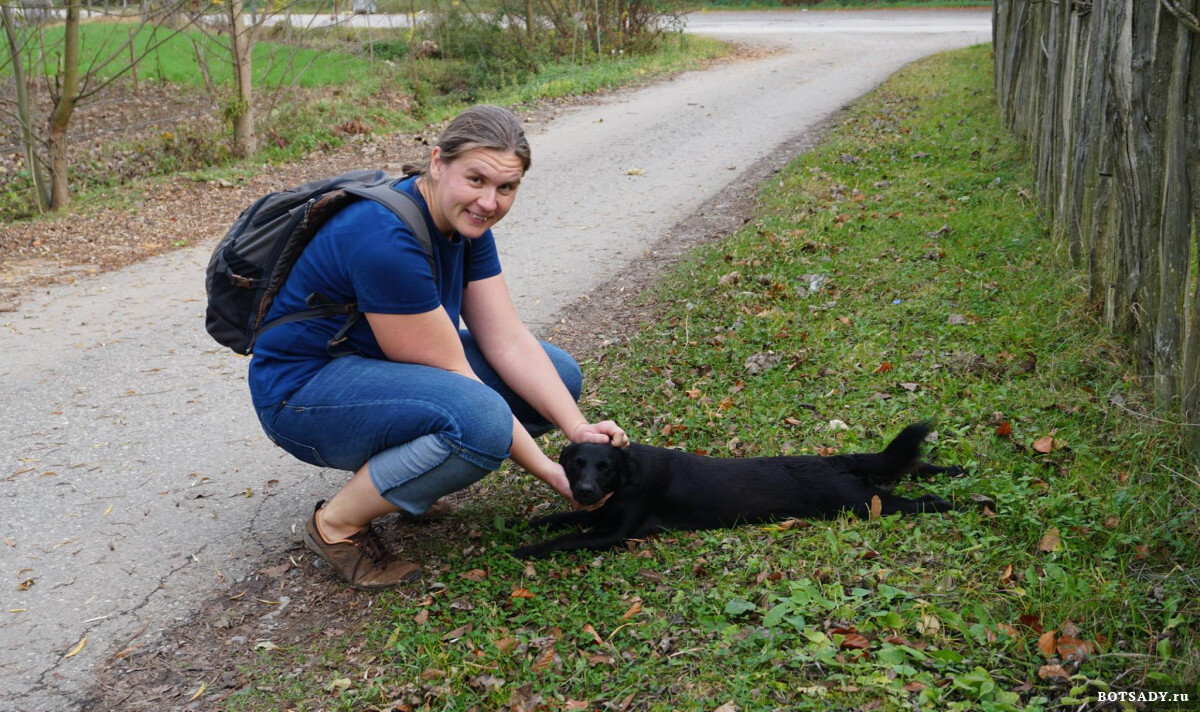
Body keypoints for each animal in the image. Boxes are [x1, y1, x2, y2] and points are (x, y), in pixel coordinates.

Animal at [511, 422, 960, 554]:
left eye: (605, 467)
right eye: (576, 464)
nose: (586, 490)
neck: (626, 479)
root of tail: (834, 460)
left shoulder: (616, 532)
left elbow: (565, 539)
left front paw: (521, 551)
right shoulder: (598, 514)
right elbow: (562, 518)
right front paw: (529, 526)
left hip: (862, 501)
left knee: (917, 499)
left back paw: (953, 501)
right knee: (915, 464)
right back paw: (954, 470)